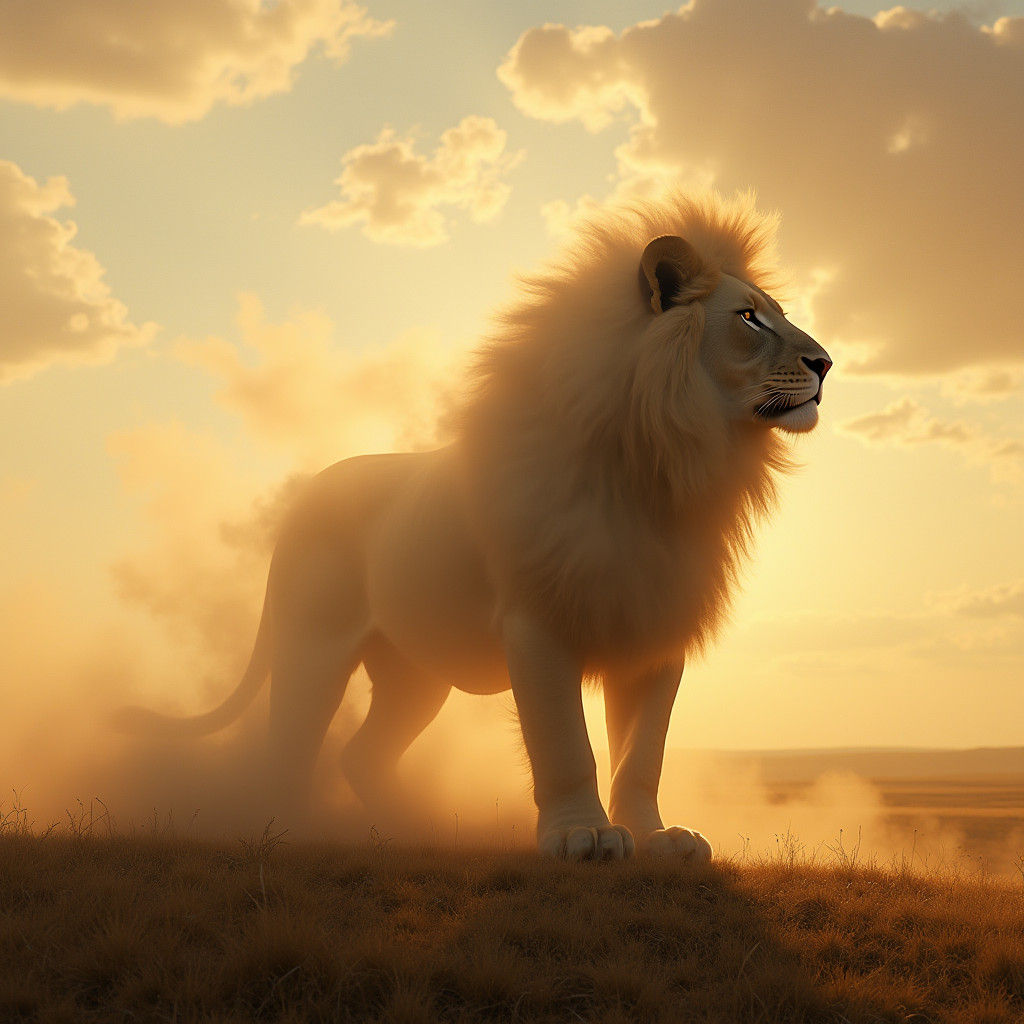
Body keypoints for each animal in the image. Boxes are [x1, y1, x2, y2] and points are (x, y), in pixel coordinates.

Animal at [121, 192, 832, 861]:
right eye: (749, 317)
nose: (826, 363)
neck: (663, 467)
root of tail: (305, 496)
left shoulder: (652, 626)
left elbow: (641, 755)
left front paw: (657, 838)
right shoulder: (538, 620)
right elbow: (565, 745)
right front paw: (582, 837)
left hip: (414, 672)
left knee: (360, 755)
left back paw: (416, 830)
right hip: (312, 645)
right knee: (288, 751)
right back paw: (290, 831)